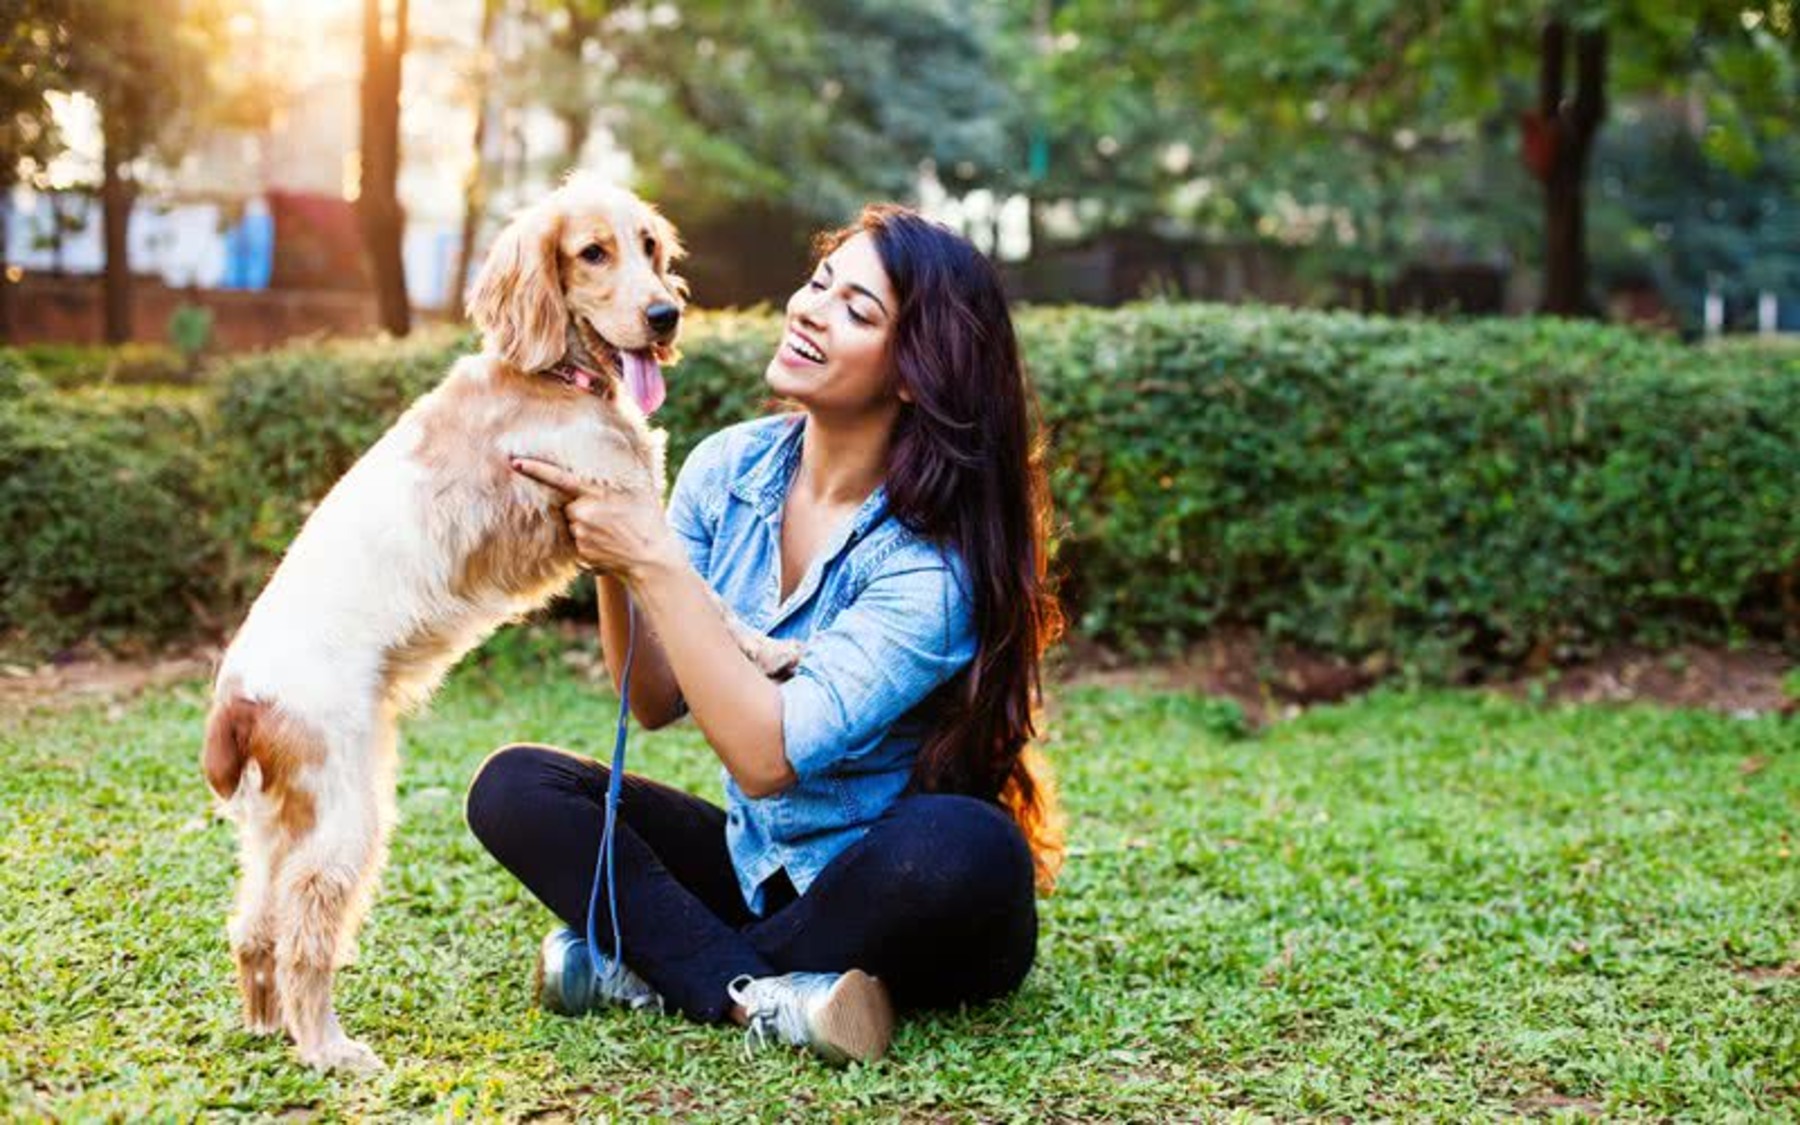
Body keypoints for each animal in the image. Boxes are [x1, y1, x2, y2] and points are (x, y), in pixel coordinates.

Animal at [198, 175, 795, 1072]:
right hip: (346, 814)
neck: (551, 375)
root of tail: (238, 693)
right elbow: (714, 601)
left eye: (650, 247)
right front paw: (768, 649)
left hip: (280, 823)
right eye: (592, 252)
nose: (665, 316)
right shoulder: (619, 507)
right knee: (306, 930)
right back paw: (330, 1048)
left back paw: (270, 1025)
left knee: (254, 922)